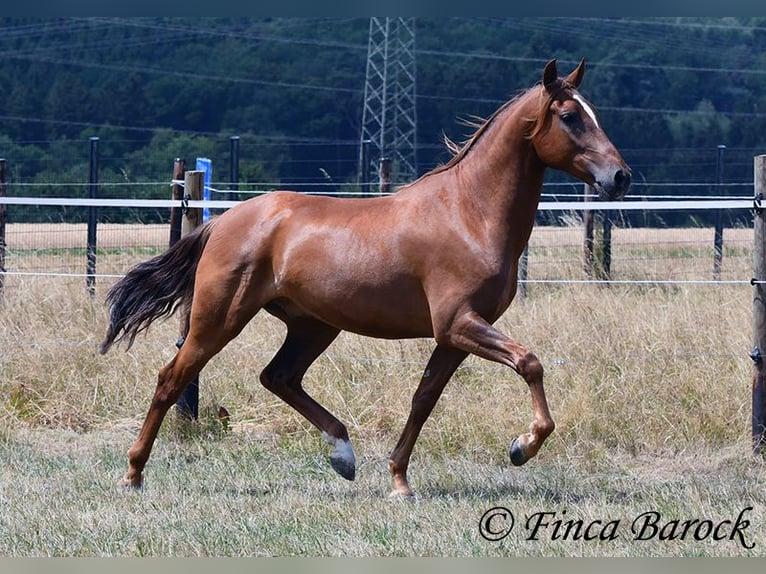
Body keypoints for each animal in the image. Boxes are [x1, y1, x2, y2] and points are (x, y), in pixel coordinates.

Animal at [99, 58, 631, 497]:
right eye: (570, 116)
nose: (620, 177)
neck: (469, 212)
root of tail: (224, 221)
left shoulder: (454, 336)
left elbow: (424, 399)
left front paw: (399, 480)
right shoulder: (459, 323)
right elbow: (530, 363)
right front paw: (522, 447)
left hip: (313, 325)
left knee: (279, 377)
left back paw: (343, 455)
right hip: (220, 319)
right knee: (173, 378)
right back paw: (133, 474)